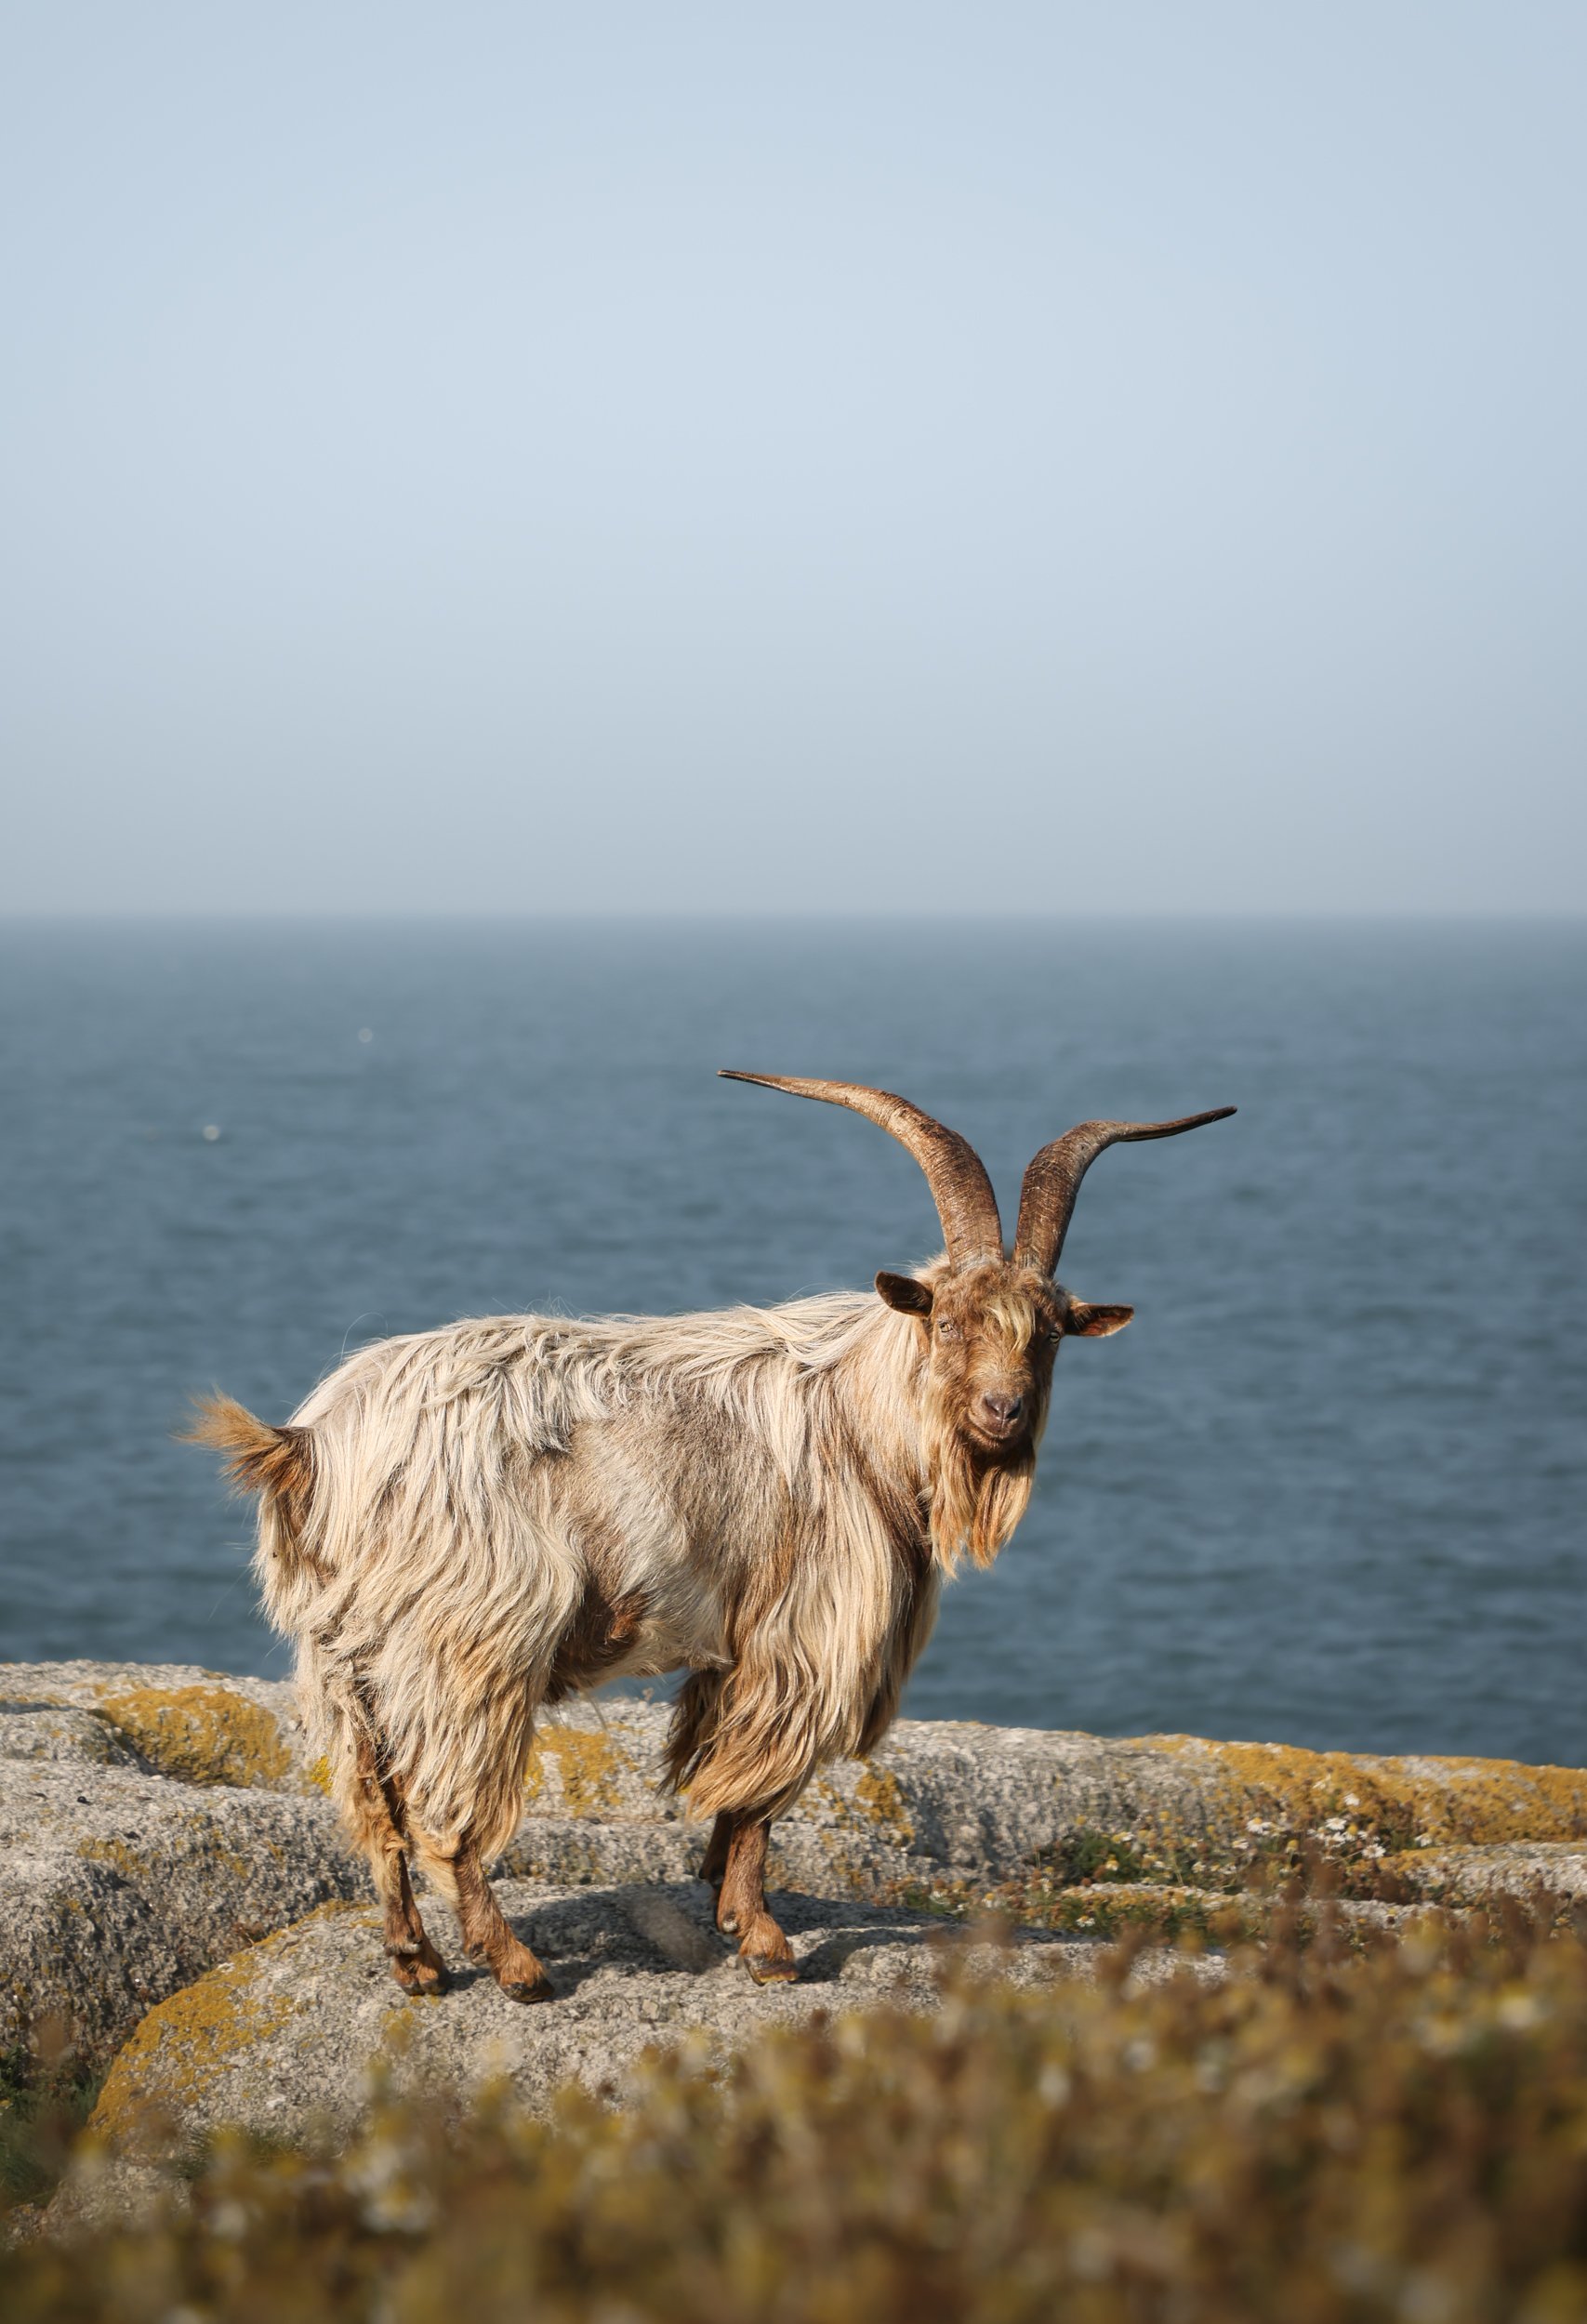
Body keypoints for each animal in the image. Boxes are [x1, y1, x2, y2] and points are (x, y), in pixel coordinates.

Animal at [194, 1075, 1233, 1997]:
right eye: (945, 1318)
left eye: (1049, 1331)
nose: (1002, 1413)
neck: (861, 1419)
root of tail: (313, 1445)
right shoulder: (802, 1636)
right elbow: (760, 1794)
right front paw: (767, 1946)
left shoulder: (735, 1651)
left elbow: (730, 1793)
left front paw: (731, 1916)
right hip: (472, 1640)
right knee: (444, 1814)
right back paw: (518, 1970)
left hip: (344, 1656)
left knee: (371, 1806)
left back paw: (416, 1966)